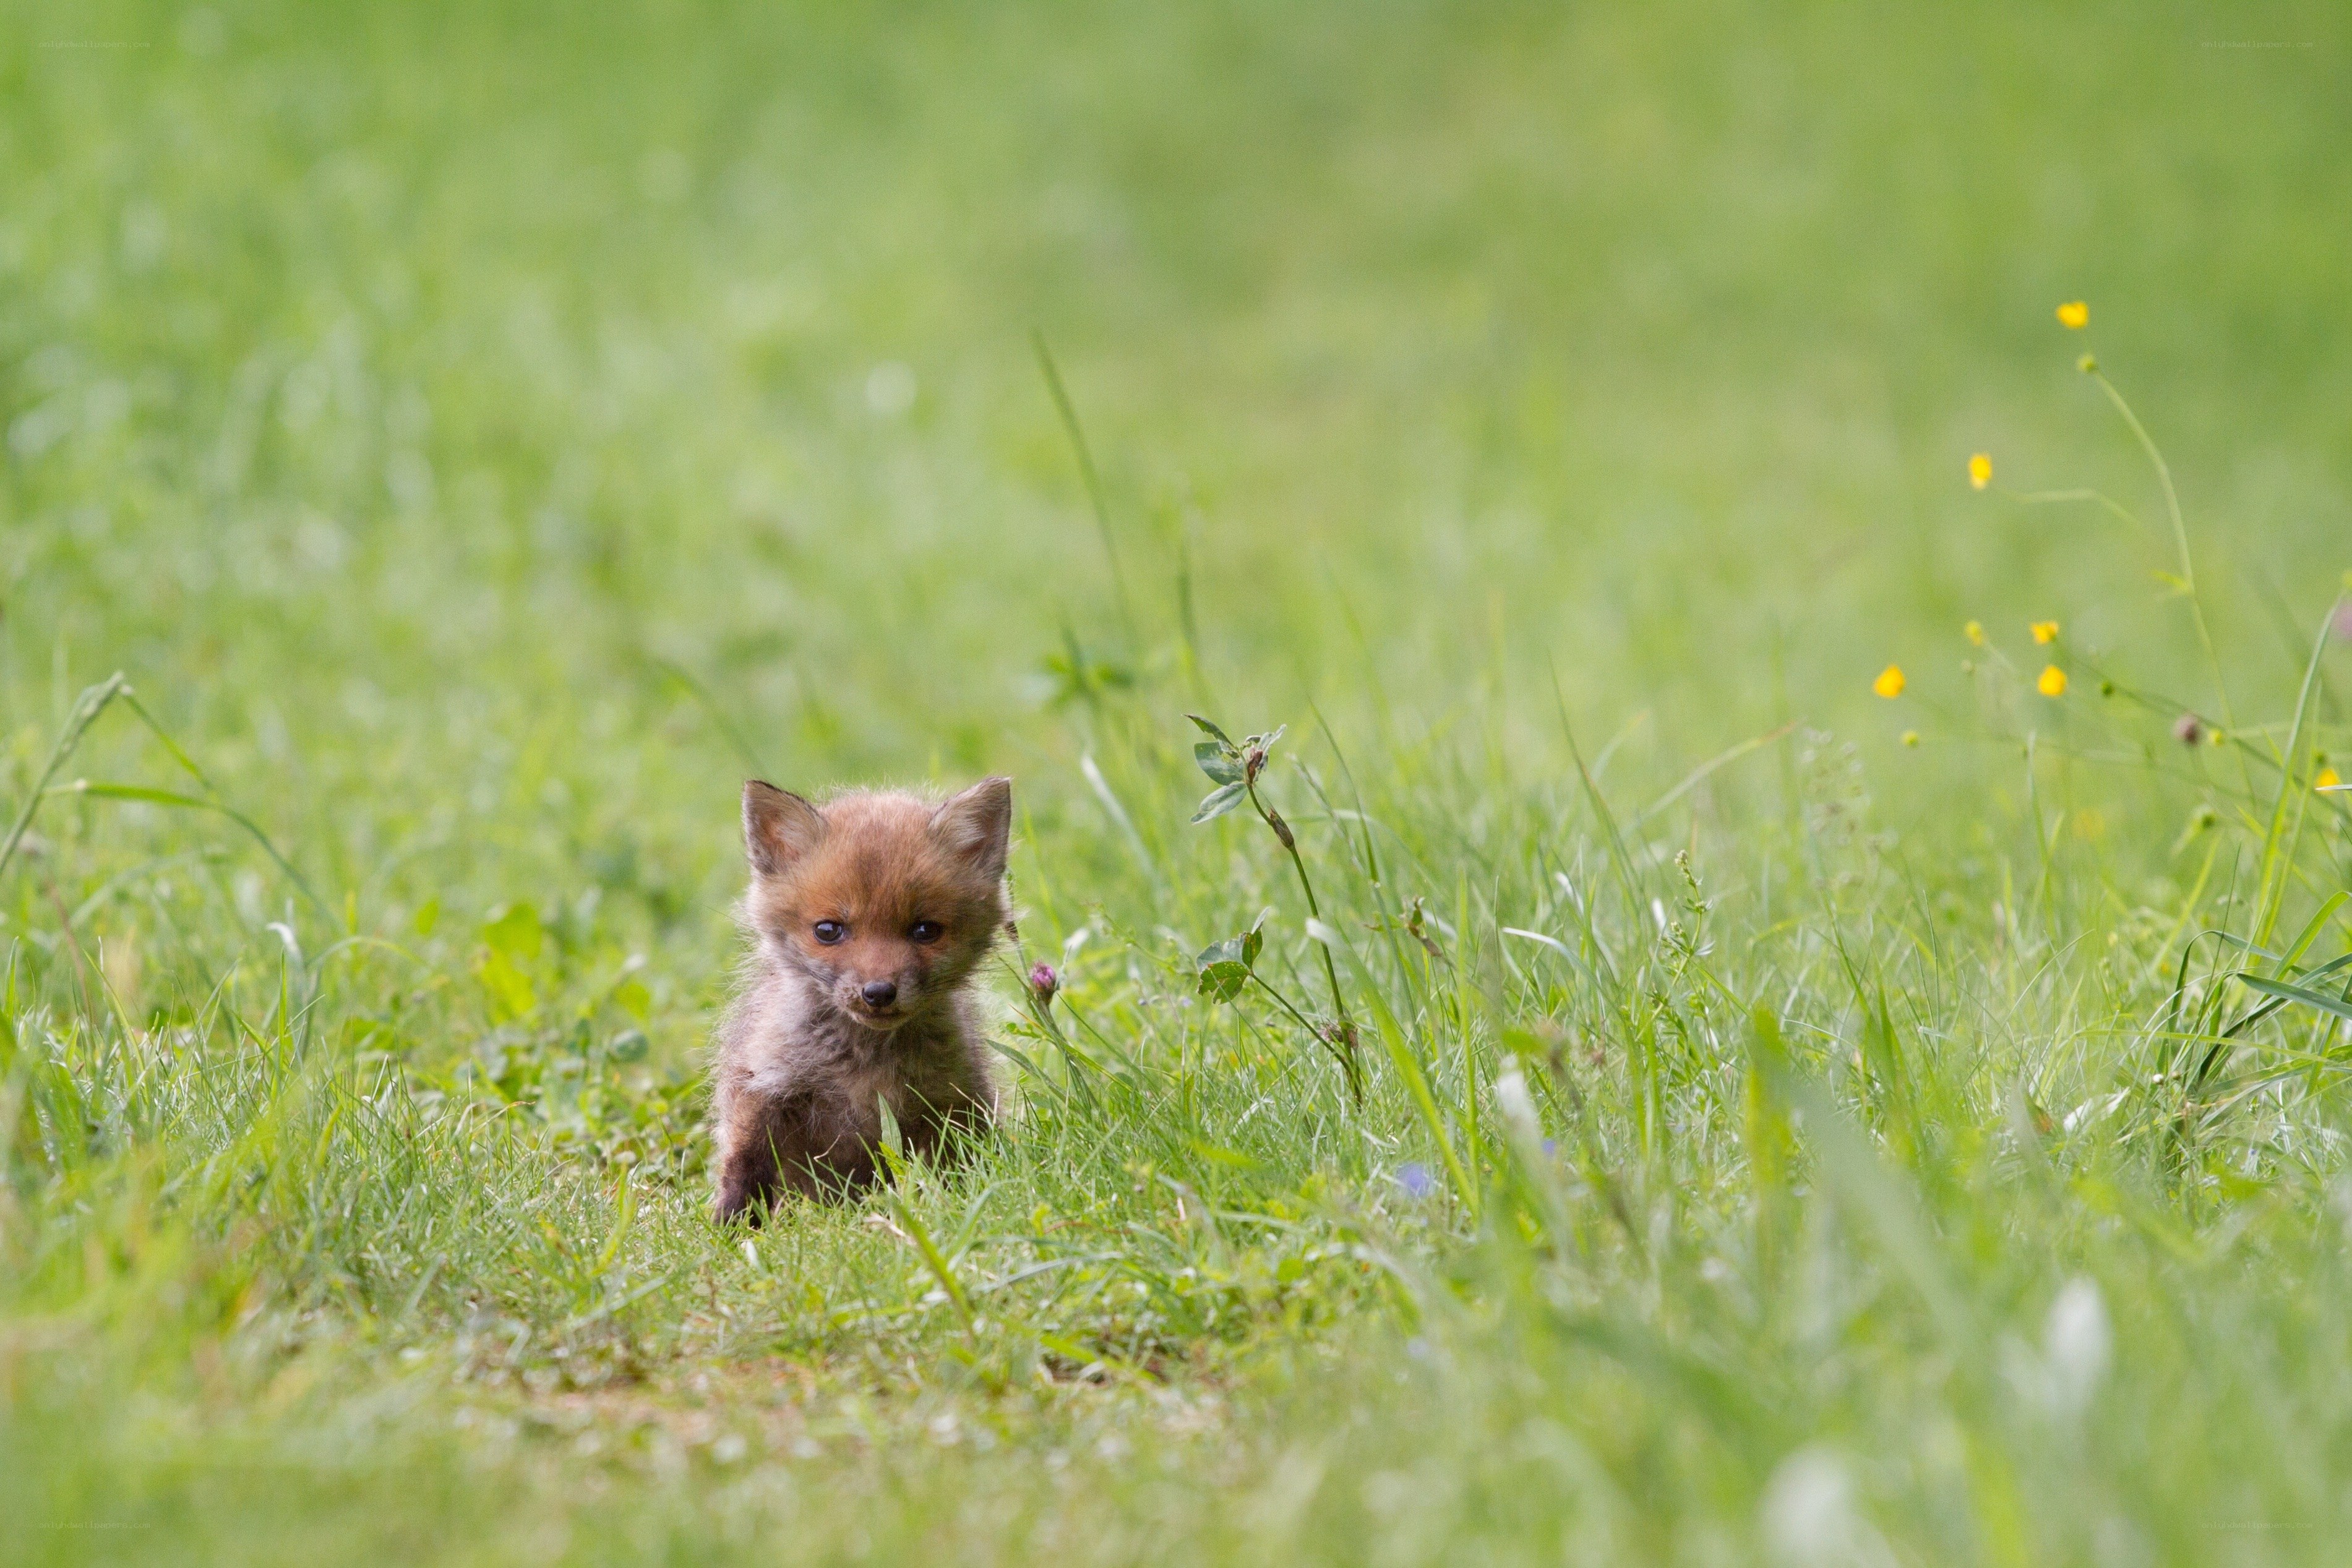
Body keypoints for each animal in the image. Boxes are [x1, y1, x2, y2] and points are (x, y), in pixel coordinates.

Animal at [709, 775, 1011, 1223]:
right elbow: (743, 1170)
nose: (879, 992)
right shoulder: (763, 1089)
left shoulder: (949, 1101)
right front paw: (730, 1229)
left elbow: (950, 1172)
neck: (863, 1064)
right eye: (828, 930)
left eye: (926, 930)